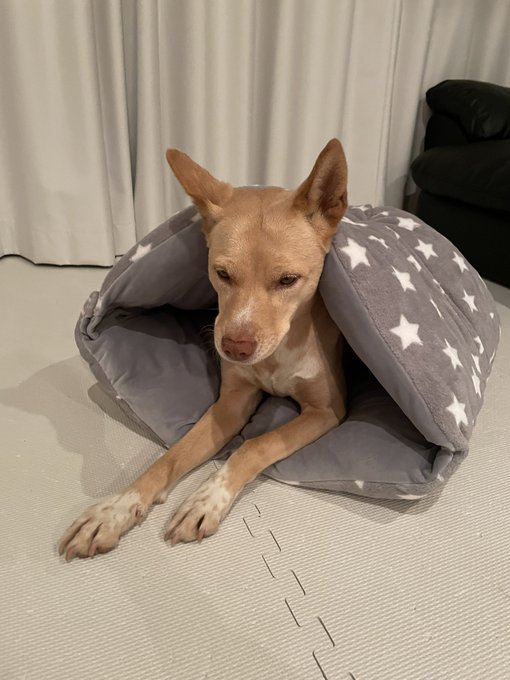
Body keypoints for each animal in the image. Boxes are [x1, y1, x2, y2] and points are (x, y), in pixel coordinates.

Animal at [59, 138, 348, 560]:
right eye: (222, 273)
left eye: (288, 280)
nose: (234, 348)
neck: (278, 351)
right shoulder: (232, 403)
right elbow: (171, 457)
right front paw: (115, 510)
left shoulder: (326, 411)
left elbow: (255, 445)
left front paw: (206, 499)